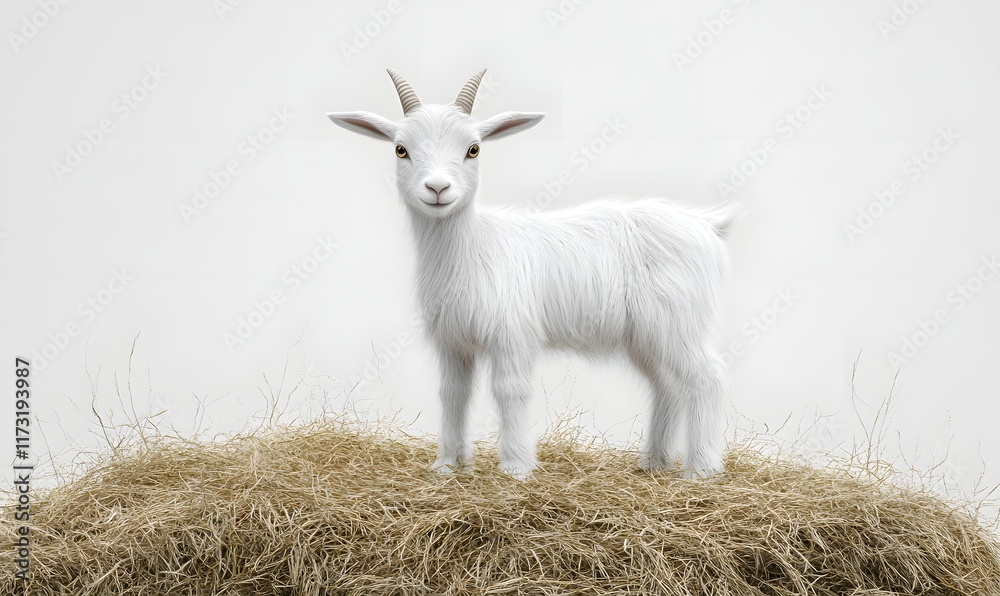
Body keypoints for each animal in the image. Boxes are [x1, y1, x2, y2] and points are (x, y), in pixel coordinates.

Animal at [328, 70, 735, 479]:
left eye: (473, 149)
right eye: (401, 149)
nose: (438, 188)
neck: (472, 248)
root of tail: (707, 225)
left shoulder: (513, 333)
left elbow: (510, 389)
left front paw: (516, 467)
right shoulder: (453, 340)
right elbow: (453, 393)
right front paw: (447, 465)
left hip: (679, 320)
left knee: (708, 378)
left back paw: (700, 469)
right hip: (648, 335)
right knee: (668, 385)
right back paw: (653, 462)